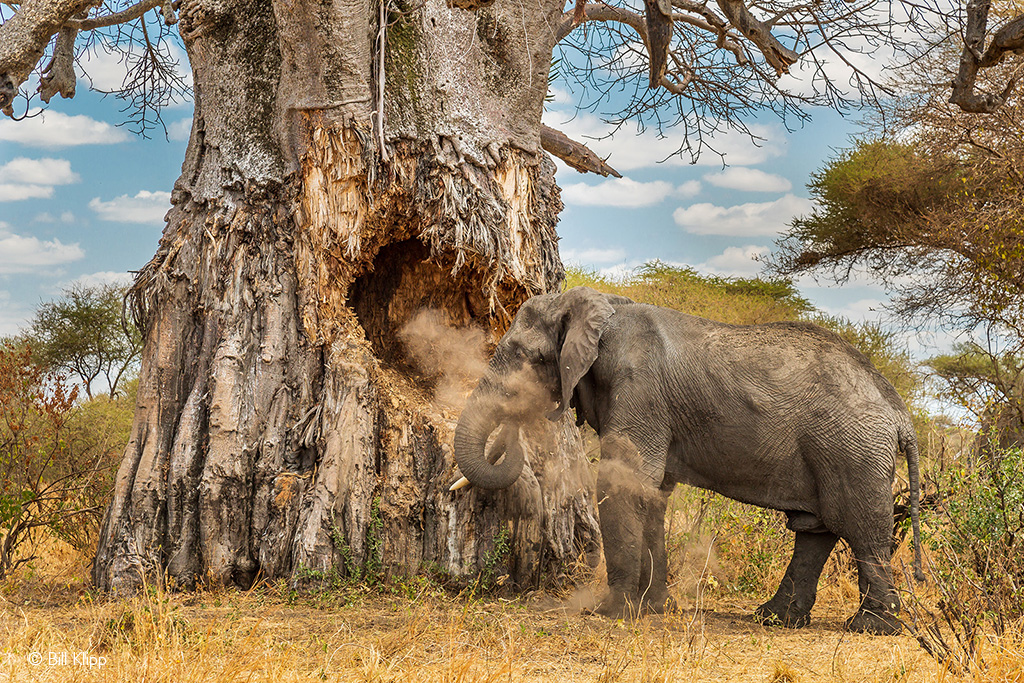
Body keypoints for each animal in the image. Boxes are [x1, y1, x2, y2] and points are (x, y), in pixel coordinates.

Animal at [452, 286, 925, 634]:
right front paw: (655, 608)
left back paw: (871, 627)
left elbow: (621, 482)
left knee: (862, 529)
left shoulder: (639, 389)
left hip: (853, 451)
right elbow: (652, 494)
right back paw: (775, 618)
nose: (516, 422)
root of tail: (900, 413)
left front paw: (612, 613)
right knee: (816, 531)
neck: (600, 307)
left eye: (530, 358)